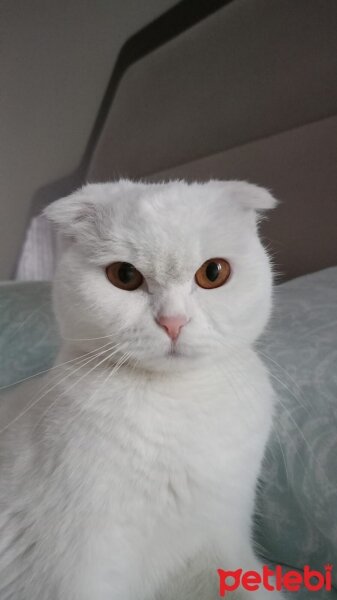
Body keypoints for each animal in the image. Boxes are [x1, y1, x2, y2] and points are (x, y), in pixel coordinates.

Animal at [0, 180, 284, 596]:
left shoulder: (220, 543)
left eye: (213, 272)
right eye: (124, 275)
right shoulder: (76, 570)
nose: (173, 321)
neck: (177, 405)